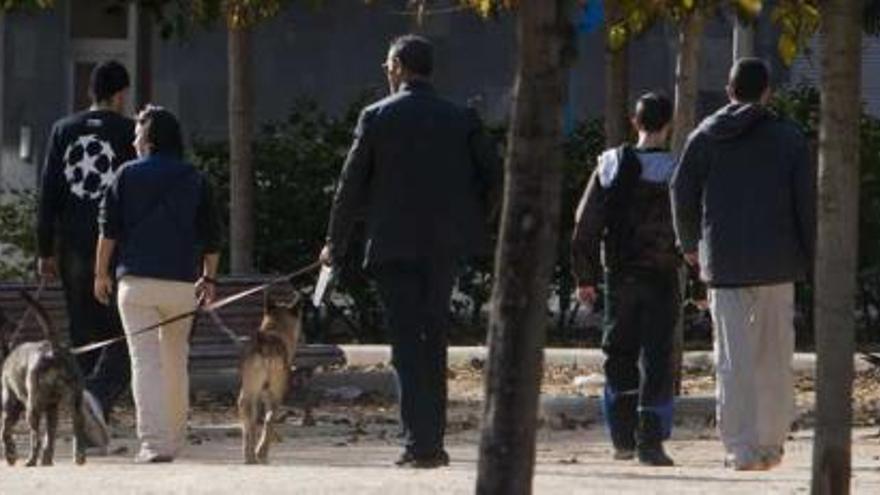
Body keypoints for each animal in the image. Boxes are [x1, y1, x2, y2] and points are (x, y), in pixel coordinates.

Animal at [1, 292, 87, 466]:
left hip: (32, 407)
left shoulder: (10, 404)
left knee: (35, 438)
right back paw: (78, 457)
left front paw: (10, 455)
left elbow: (4, 431)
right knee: (77, 425)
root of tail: (54, 350)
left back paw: (31, 460)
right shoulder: (51, 408)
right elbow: (50, 436)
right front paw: (47, 459)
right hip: (74, 401)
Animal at [237, 292, 302, 464]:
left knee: (249, 423)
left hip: (246, 394)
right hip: (275, 395)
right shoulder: (275, 395)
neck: (274, 330)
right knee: (269, 420)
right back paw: (261, 453)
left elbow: (253, 423)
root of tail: (264, 344)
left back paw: (249, 456)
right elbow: (269, 423)